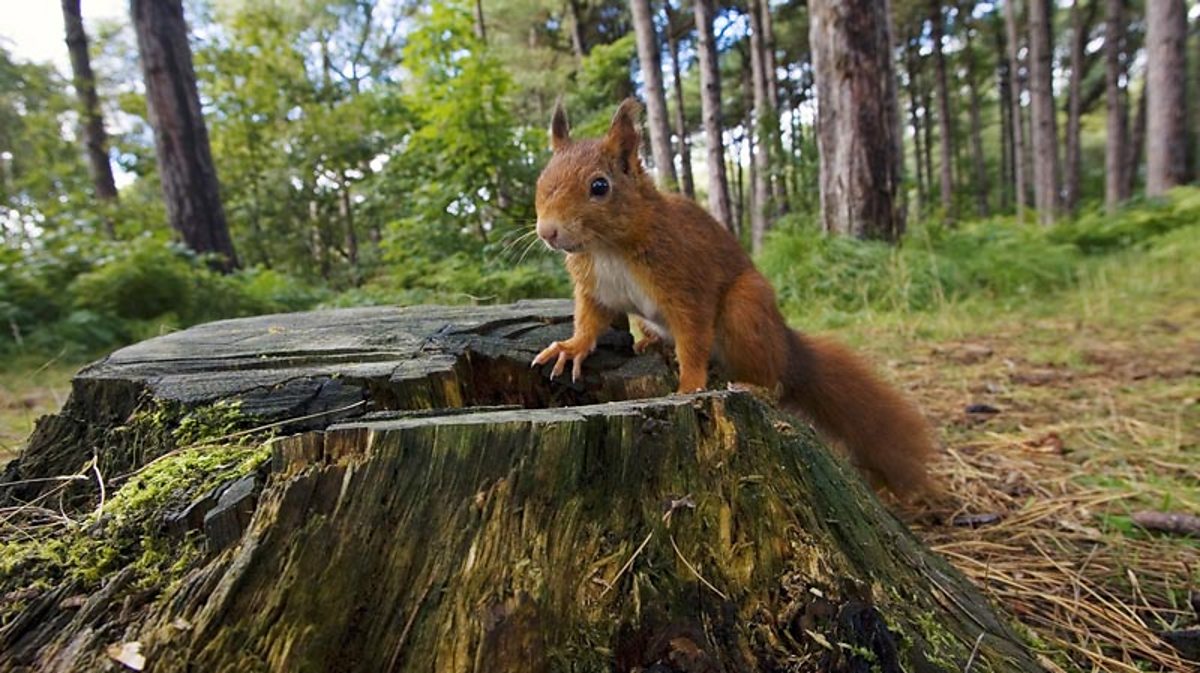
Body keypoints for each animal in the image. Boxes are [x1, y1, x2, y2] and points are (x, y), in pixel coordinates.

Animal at [530, 99, 931, 499]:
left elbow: (693, 338)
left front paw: (689, 386)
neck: (607, 248)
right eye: (542, 180)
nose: (547, 232)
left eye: (600, 186)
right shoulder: (594, 288)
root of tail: (787, 346)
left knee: (773, 378)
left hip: (745, 309)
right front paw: (571, 348)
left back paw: (753, 385)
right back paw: (653, 343)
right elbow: (589, 320)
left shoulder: (686, 284)